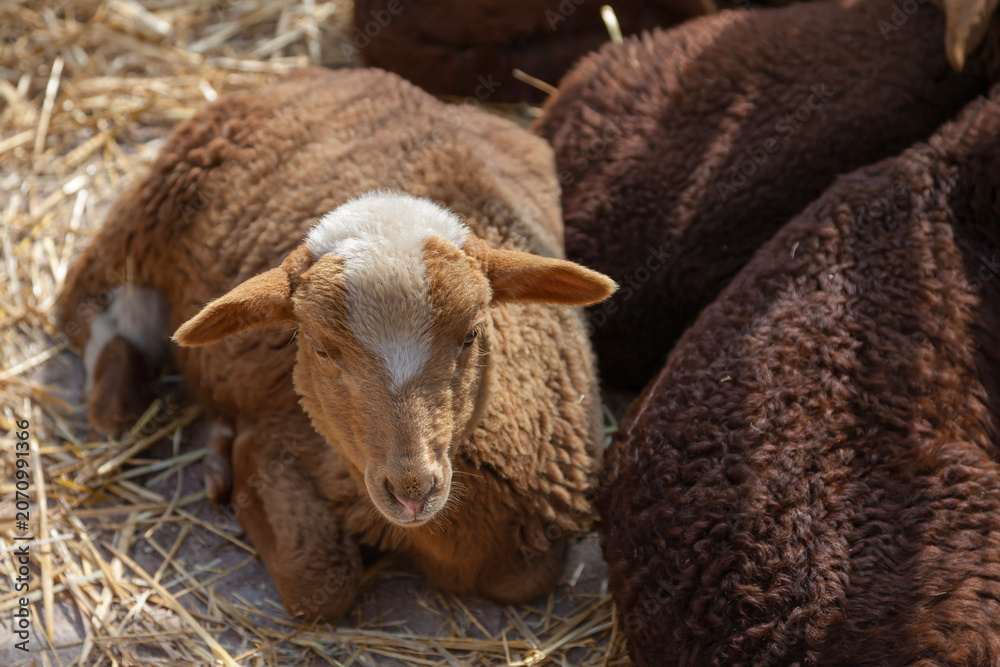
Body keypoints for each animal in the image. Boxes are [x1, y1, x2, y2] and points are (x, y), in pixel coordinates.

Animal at [59, 66, 617, 621]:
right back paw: (119, 402)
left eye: (471, 334)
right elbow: (318, 583)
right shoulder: (286, 429)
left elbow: (525, 577)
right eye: (322, 349)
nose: (412, 491)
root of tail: (333, 75)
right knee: (84, 303)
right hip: (154, 205)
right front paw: (231, 462)